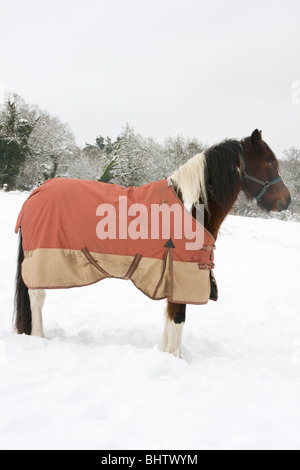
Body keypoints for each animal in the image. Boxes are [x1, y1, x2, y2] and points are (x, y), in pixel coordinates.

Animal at [13, 129, 290, 356]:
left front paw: (165, 353)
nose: (286, 201)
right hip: (42, 262)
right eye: (270, 162)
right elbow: (178, 318)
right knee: (37, 298)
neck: (191, 207)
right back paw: (39, 338)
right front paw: (175, 359)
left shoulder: (173, 276)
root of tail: (36, 194)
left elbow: (169, 318)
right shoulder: (182, 273)